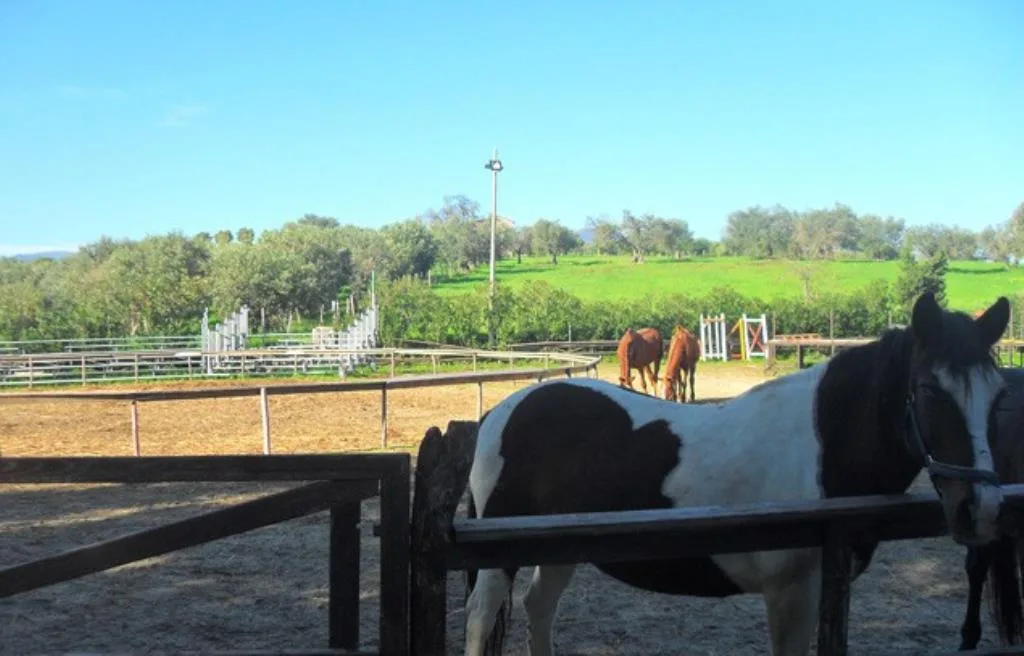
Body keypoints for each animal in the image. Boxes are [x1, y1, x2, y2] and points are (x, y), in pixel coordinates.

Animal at [463, 292, 1010, 656]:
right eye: (929, 390)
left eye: (1000, 394)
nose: (981, 510)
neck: (822, 442)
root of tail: (502, 412)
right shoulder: (790, 593)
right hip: (498, 561)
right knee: (480, 618)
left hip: (559, 547)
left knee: (539, 606)